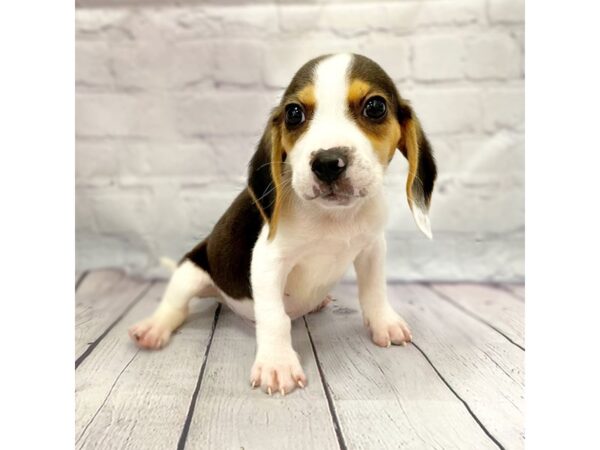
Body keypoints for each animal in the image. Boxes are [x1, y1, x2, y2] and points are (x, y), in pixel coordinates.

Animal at [127, 52, 436, 396]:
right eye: (294, 113)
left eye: (376, 107)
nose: (327, 163)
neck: (333, 218)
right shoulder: (268, 261)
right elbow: (275, 318)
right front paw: (277, 364)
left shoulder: (372, 249)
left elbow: (374, 291)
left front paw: (384, 322)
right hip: (190, 272)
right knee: (175, 306)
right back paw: (154, 328)